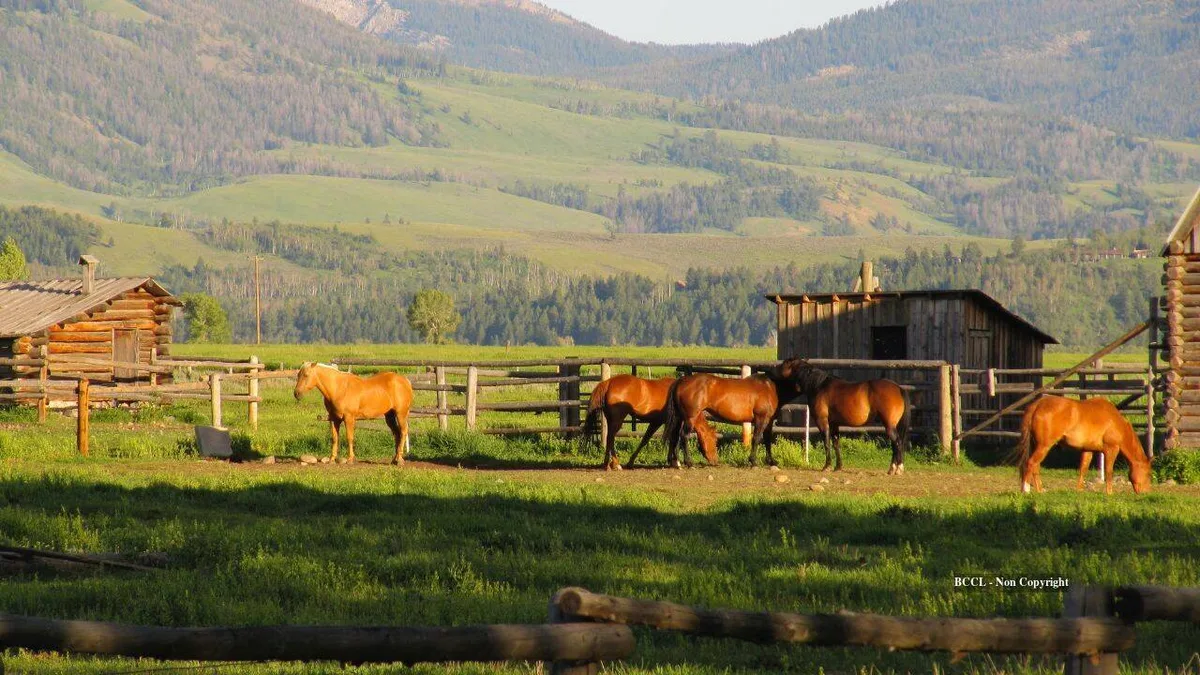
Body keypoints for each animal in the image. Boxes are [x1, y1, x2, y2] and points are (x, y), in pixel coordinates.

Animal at [661, 359, 807, 468]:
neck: (771, 387)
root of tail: (681, 381)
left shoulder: (769, 421)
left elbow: (767, 439)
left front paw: (771, 461)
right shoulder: (761, 419)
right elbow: (756, 438)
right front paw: (753, 461)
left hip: (681, 417)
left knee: (674, 436)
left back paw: (675, 462)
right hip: (690, 417)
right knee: (683, 436)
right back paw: (689, 462)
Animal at [1014, 395, 1151, 495]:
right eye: (1147, 473)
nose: (1146, 492)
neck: (1116, 422)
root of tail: (1038, 404)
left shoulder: (1087, 449)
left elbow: (1083, 469)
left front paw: (1079, 490)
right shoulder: (1111, 449)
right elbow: (1108, 471)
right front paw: (1109, 492)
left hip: (1037, 445)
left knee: (1035, 466)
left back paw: (1039, 490)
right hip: (1044, 446)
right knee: (1031, 463)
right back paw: (1026, 490)